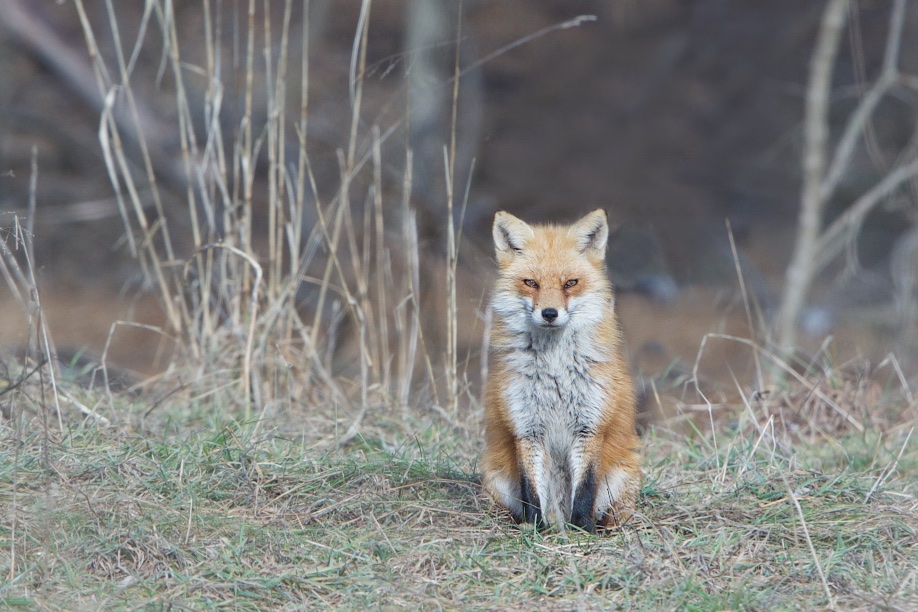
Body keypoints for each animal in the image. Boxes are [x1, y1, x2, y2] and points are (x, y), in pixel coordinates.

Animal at [481, 209, 641, 533]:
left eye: (570, 283)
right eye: (531, 283)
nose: (550, 314)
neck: (555, 373)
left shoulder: (590, 426)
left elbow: (585, 489)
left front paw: (582, 530)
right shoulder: (526, 428)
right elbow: (531, 491)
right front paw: (534, 529)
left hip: (622, 479)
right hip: (495, 478)